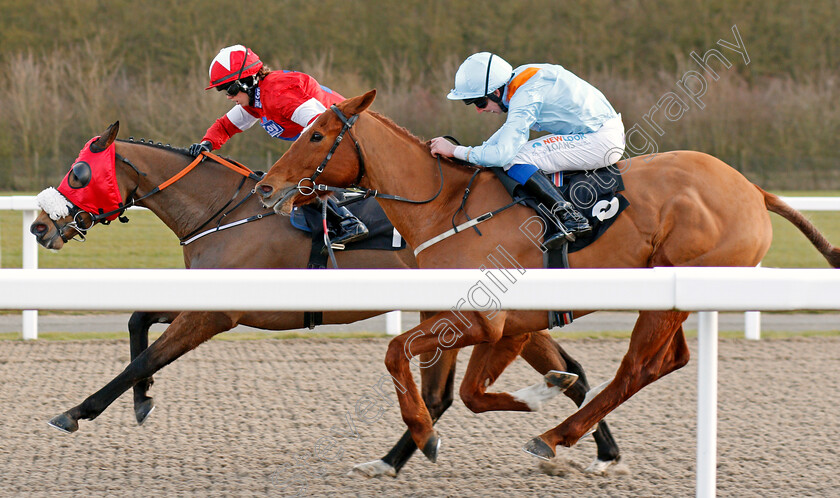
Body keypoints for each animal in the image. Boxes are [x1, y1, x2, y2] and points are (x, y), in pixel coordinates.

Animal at [29, 120, 620, 474]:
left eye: (78, 172)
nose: (39, 226)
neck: (223, 212)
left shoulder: (218, 313)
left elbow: (146, 355)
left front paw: (77, 411)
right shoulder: (208, 300)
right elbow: (136, 322)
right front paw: (143, 400)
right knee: (566, 372)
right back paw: (592, 446)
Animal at [256, 88, 840, 462]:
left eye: (316, 135)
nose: (266, 186)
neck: (445, 207)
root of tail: (752, 189)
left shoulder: (487, 321)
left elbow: (401, 354)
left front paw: (426, 432)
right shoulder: (497, 325)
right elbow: (463, 390)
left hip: (677, 285)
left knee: (637, 367)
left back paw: (556, 436)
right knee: (667, 360)